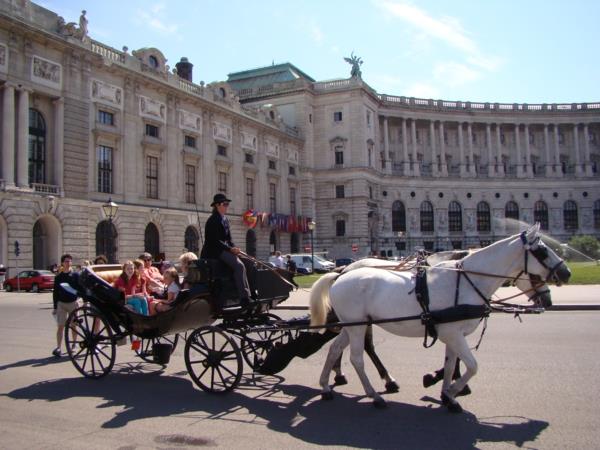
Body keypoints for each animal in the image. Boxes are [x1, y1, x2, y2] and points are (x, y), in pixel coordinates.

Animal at [312, 225, 568, 412]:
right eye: (542, 251)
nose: (566, 273)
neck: (465, 280)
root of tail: (340, 274)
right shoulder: (453, 334)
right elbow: (472, 365)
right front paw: (452, 390)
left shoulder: (452, 334)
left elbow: (451, 364)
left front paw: (447, 394)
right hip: (356, 327)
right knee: (357, 358)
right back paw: (375, 394)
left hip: (353, 325)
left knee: (335, 349)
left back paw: (326, 386)